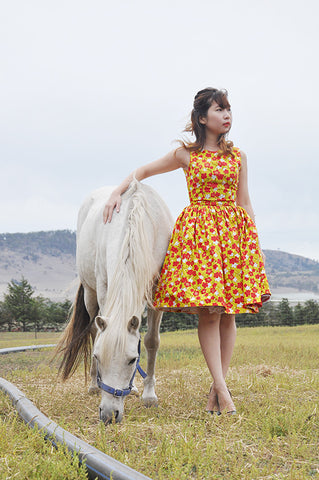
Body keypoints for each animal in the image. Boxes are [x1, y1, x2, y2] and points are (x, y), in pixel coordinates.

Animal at [56, 180, 174, 424]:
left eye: (132, 360)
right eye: (97, 357)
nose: (109, 415)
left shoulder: (156, 291)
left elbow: (151, 341)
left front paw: (149, 395)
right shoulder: (103, 287)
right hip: (89, 293)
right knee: (93, 330)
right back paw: (93, 385)